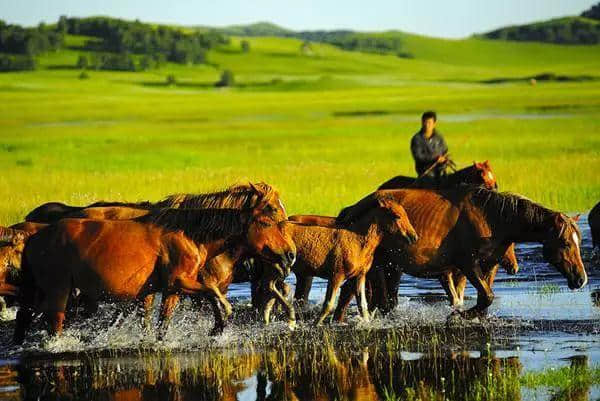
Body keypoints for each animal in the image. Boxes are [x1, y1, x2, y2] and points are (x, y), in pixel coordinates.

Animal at [17, 205, 298, 342]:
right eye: (266, 223)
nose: (290, 254)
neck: (189, 235)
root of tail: (34, 237)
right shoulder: (180, 281)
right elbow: (212, 292)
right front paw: (222, 320)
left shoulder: (172, 289)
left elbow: (165, 321)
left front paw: (216, 327)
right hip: (59, 292)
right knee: (54, 325)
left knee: (24, 317)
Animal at [260, 194, 420, 324]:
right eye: (397, 215)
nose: (413, 237)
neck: (358, 241)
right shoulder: (336, 275)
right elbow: (328, 304)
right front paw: (315, 325)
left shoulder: (360, 276)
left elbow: (363, 306)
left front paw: (367, 324)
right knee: (272, 288)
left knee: (272, 289)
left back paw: (271, 318)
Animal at [338, 186, 584, 318]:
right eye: (565, 243)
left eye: (578, 241)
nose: (581, 279)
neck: (490, 218)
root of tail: (353, 209)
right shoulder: (467, 265)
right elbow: (486, 297)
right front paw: (458, 315)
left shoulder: (488, 266)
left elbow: (485, 298)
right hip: (378, 267)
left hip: (391, 268)